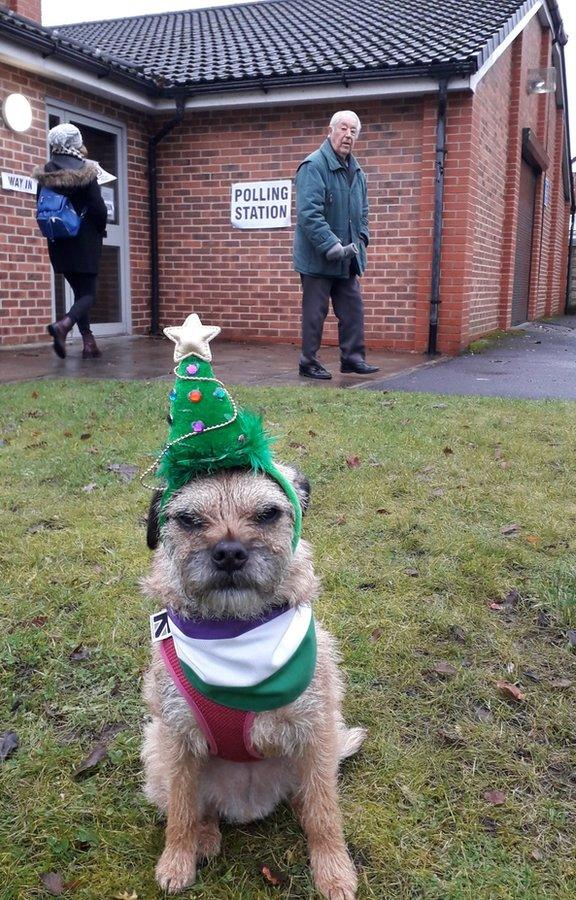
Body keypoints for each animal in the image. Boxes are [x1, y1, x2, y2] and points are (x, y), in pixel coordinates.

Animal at [140, 464, 364, 900]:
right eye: (189, 520)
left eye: (267, 514)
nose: (229, 552)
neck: (235, 633)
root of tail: (247, 804)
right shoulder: (176, 739)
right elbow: (181, 810)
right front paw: (175, 861)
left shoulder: (316, 730)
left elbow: (325, 813)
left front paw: (334, 872)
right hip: (155, 753)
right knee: (199, 808)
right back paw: (204, 837)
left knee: (311, 795)